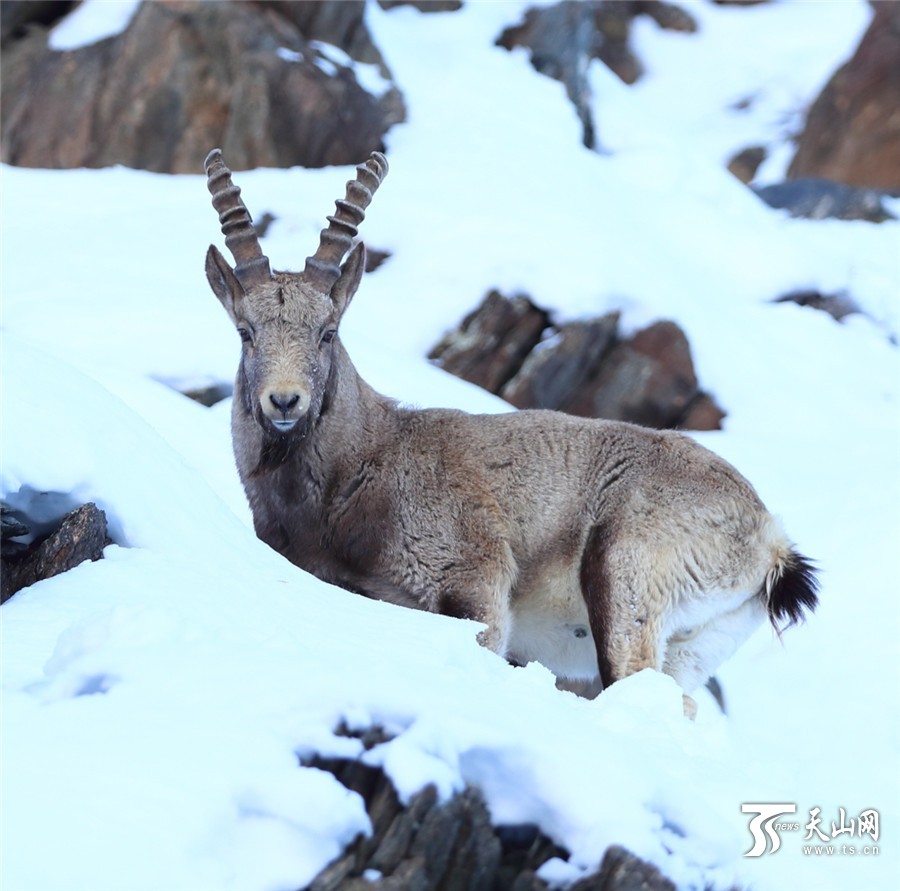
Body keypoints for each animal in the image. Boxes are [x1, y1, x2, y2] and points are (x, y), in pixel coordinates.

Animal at [204, 150, 816, 716]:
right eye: (246, 331)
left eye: (327, 331)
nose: (285, 400)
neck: (362, 464)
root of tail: (770, 541)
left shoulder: (475, 581)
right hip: (694, 646)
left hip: (626, 577)